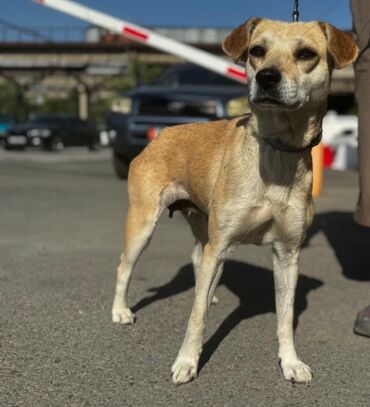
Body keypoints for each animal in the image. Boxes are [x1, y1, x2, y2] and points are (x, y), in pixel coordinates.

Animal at [110, 19, 358, 388]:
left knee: (197, 259)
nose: (267, 77)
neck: (275, 155)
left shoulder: (287, 254)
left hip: (204, 226)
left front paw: (291, 362)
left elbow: (285, 318)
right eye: (257, 50)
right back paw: (120, 311)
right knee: (125, 266)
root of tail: (164, 133)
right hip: (144, 223)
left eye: (306, 54)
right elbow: (196, 316)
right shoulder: (221, 243)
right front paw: (187, 362)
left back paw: (208, 289)